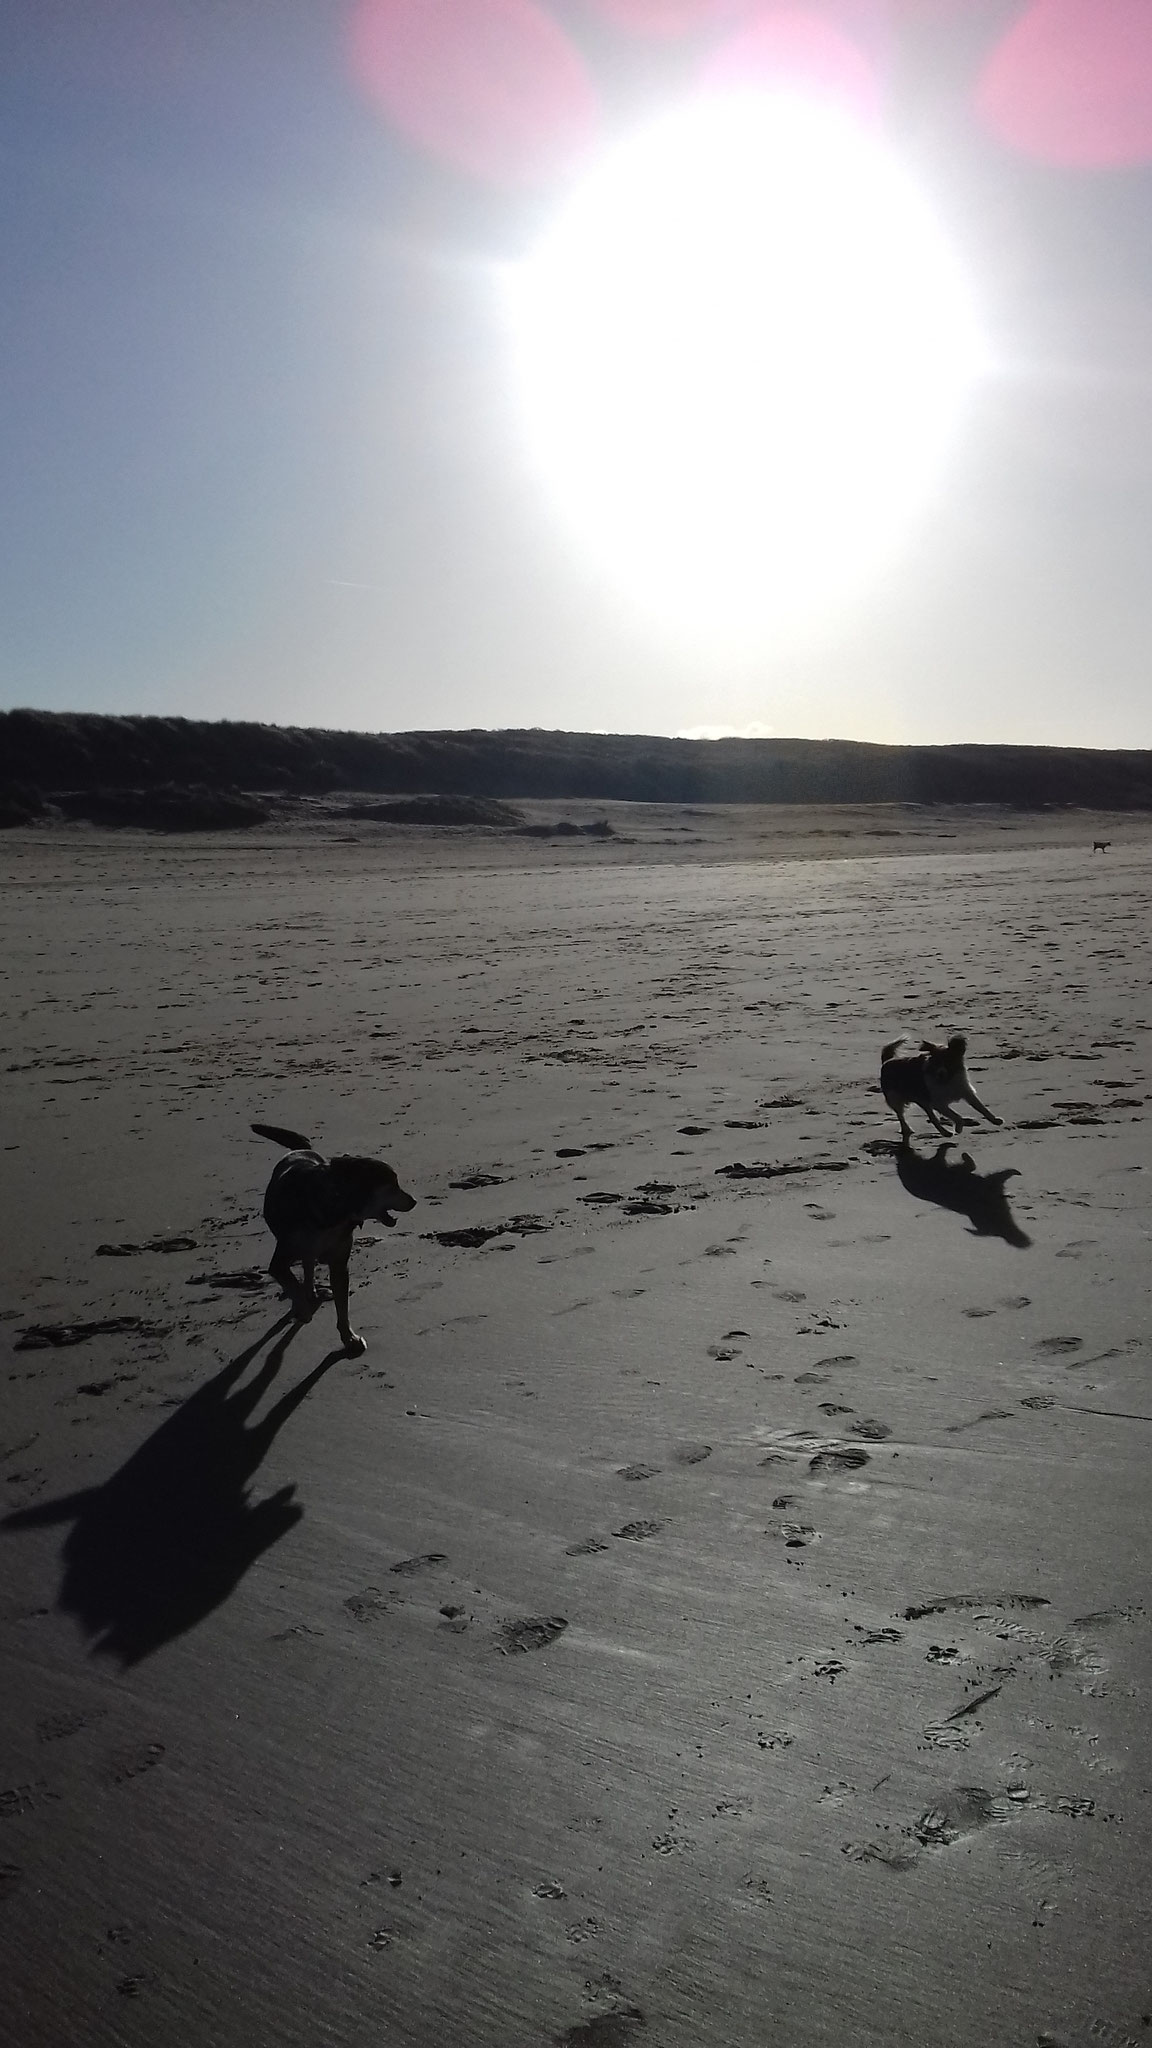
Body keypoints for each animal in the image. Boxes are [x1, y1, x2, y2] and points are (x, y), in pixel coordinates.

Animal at [249, 1130, 414, 1351]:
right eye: (392, 1185)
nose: (414, 1201)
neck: (336, 1208)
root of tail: (301, 1150)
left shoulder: (339, 1262)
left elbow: (342, 1308)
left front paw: (350, 1339)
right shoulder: (279, 1263)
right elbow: (292, 1285)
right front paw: (303, 1310)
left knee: (309, 1264)